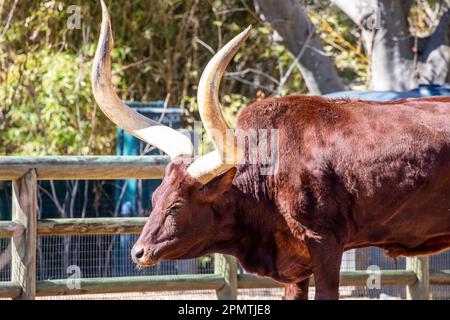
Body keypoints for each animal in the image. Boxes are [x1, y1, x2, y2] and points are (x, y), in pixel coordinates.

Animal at [91, 1, 450, 300]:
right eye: (154, 198)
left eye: (176, 206)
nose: (139, 252)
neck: (271, 171)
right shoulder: (297, 264)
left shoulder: (326, 244)